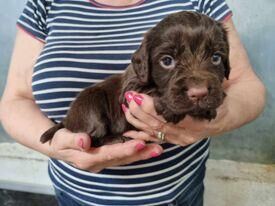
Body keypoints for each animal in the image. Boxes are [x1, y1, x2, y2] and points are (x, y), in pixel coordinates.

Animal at [40, 10, 231, 146]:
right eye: (167, 61)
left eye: (216, 58)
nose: (199, 93)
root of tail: (67, 119)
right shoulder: (130, 90)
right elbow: (148, 89)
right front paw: (169, 108)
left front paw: (209, 108)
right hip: (91, 105)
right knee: (93, 136)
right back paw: (115, 139)